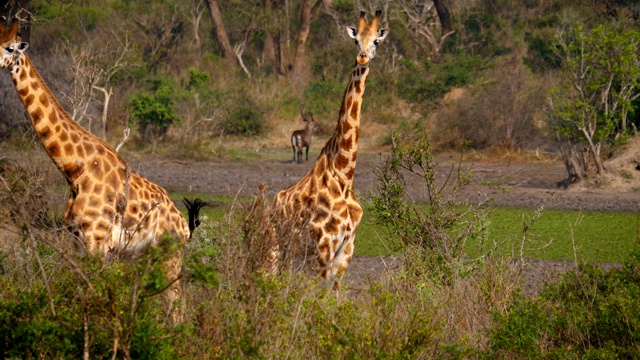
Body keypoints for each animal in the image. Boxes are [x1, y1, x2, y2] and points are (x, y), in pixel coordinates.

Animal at [0, 18, 200, 318]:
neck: (74, 171)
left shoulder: (97, 240)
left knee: (177, 306)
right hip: (145, 256)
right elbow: (79, 292)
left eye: (10, 48)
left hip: (170, 255)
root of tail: (184, 226)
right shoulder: (76, 239)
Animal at [272, 11, 388, 292]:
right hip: (273, 246)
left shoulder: (346, 249)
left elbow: (334, 296)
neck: (344, 174)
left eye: (376, 41)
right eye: (355, 40)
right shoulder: (323, 247)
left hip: (291, 253)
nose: (362, 57)